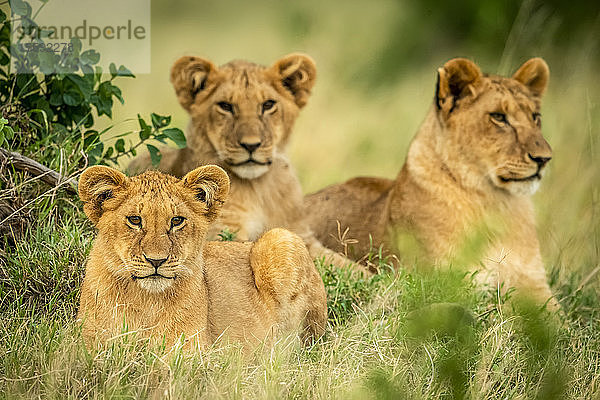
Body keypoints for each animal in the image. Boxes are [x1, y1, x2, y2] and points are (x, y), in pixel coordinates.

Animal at [78, 164, 328, 348]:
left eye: (176, 221)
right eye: (135, 220)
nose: (156, 260)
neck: (146, 300)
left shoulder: (191, 355)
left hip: (279, 238)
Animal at [128, 53, 364, 272]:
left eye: (268, 105)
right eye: (226, 106)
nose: (251, 145)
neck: (259, 189)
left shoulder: (301, 233)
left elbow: (348, 267)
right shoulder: (219, 234)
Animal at [310, 57, 556, 306]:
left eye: (535, 117)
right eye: (498, 117)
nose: (544, 159)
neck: (495, 202)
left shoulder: (536, 284)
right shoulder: (445, 282)